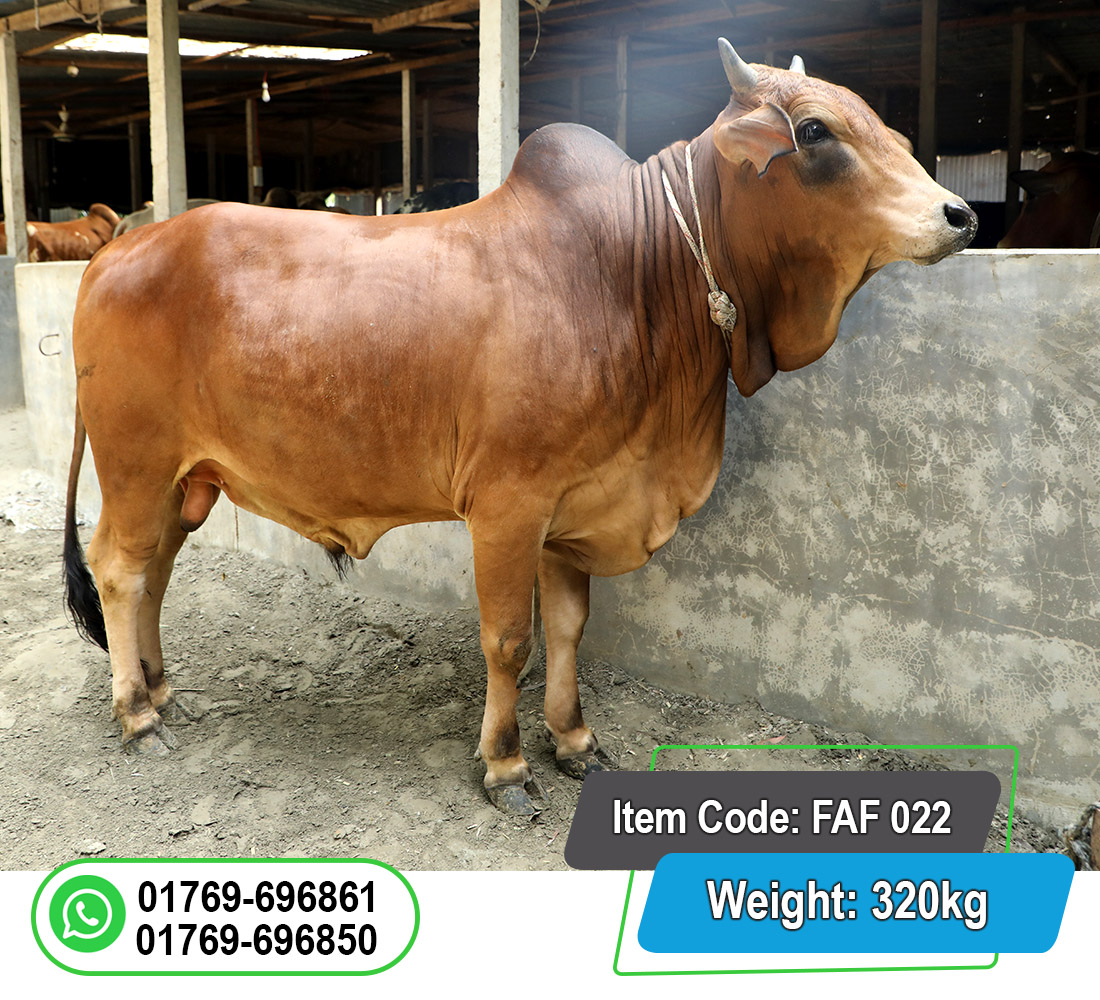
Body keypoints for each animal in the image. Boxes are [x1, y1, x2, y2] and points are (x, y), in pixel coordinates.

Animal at [62, 40, 977, 816]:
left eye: (887, 127)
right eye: (816, 132)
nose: (960, 214)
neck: (633, 272)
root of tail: (116, 252)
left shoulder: (576, 502)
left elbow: (568, 628)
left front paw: (575, 740)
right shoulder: (507, 505)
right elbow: (509, 638)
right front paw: (504, 764)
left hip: (185, 481)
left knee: (155, 572)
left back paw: (159, 686)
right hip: (136, 464)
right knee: (118, 569)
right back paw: (135, 714)